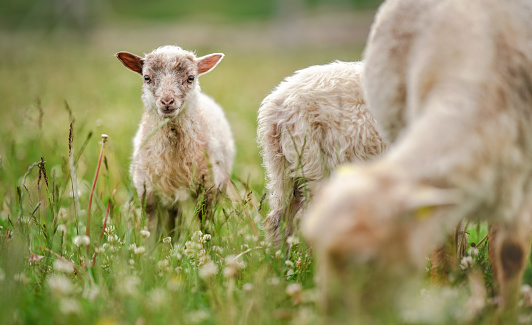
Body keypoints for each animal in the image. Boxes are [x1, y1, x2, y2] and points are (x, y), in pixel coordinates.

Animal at [116, 45, 235, 233]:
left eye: (190, 78)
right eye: (147, 78)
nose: (167, 101)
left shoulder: (206, 191)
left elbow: (205, 226)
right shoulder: (148, 194)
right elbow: (154, 230)